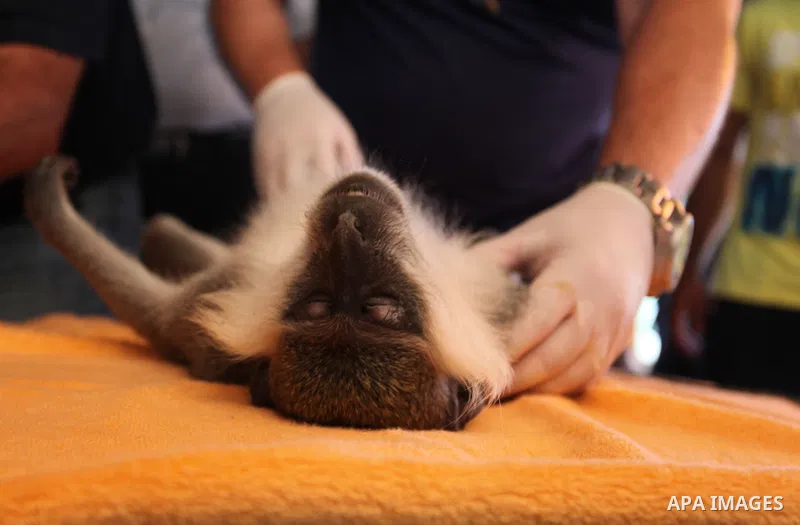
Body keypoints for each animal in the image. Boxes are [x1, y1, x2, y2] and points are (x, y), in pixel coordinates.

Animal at [23, 156, 528, 431]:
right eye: (318, 303)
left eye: (380, 309)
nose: (346, 233)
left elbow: (152, 310)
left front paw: (48, 199)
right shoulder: (221, 298)